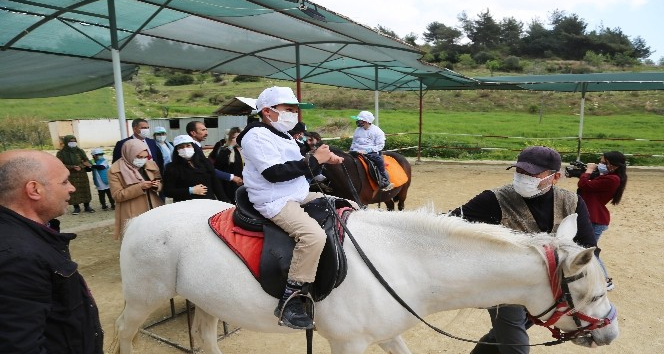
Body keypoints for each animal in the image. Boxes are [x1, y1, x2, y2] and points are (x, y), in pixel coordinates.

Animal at [113, 201, 616, 352]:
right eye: (592, 296)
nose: (611, 333)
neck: (405, 262)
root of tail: (138, 220)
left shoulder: (388, 334)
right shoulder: (349, 343)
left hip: (207, 299)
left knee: (204, 334)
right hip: (140, 300)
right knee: (124, 334)